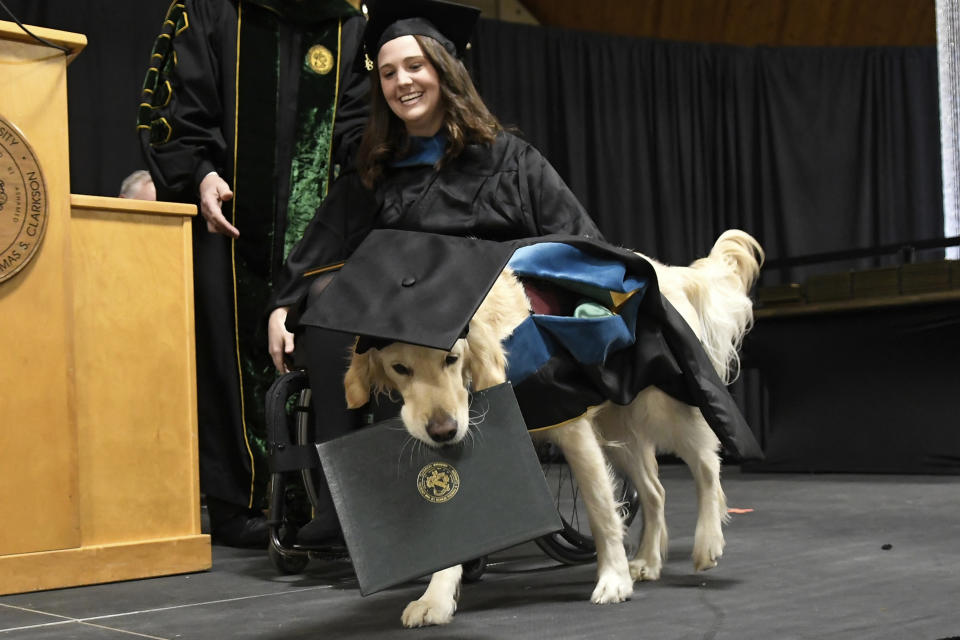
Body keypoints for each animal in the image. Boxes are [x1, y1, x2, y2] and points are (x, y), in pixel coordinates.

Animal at [342, 230, 760, 624]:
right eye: (400, 368)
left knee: (707, 464)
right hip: (618, 427)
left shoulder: (571, 424)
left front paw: (613, 579)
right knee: (655, 491)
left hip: (661, 403)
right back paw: (646, 561)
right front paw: (436, 598)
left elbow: (601, 509)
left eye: (451, 358)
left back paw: (707, 542)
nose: (442, 430)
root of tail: (662, 267)